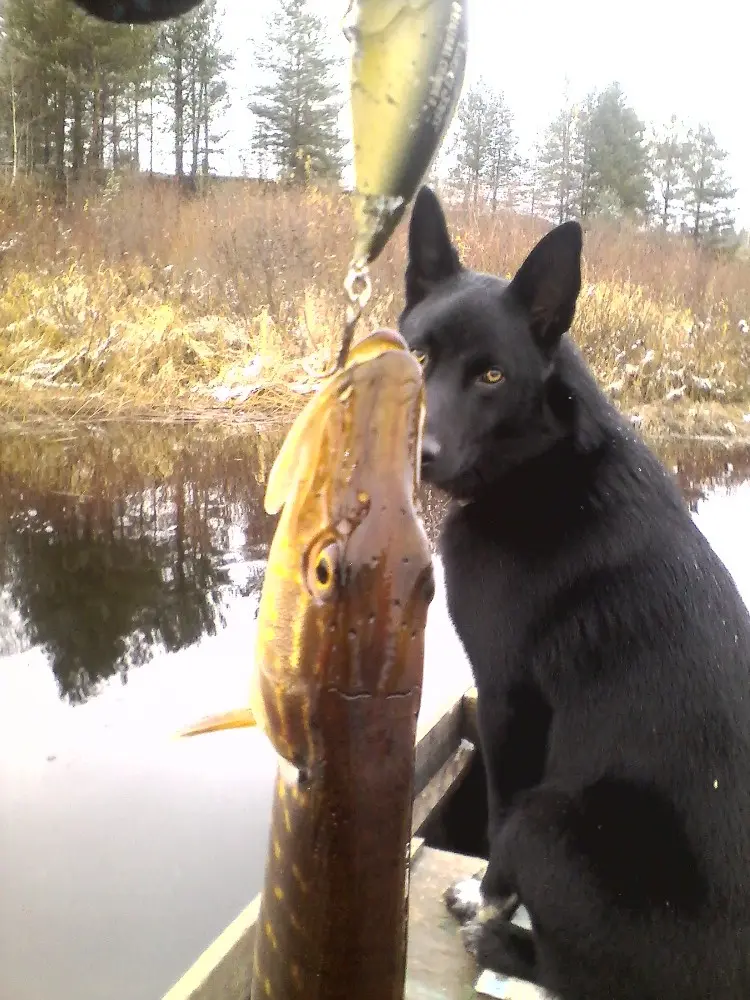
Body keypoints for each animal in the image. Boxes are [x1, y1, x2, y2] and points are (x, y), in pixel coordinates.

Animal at [402, 188, 750, 1000]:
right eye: (420, 356)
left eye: (492, 378)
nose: (418, 454)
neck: (540, 463)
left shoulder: (507, 699)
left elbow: (495, 827)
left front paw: (482, 898)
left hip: (553, 818)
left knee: (576, 971)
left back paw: (499, 944)